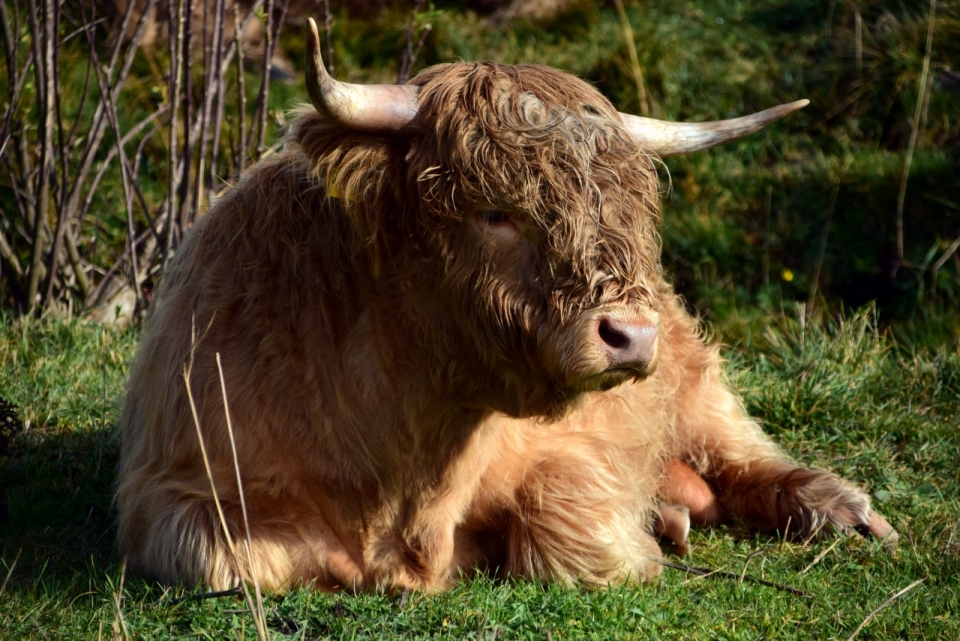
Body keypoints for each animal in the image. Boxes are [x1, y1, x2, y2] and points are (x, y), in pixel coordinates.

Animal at [116, 20, 896, 592]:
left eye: (627, 209)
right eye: (495, 210)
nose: (629, 334)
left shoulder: (572, 457)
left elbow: (568, 535)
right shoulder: (175, 490)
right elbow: (233, 562)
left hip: (697, 381)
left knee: (742, 451)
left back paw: (841, 510)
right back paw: (678, 512)